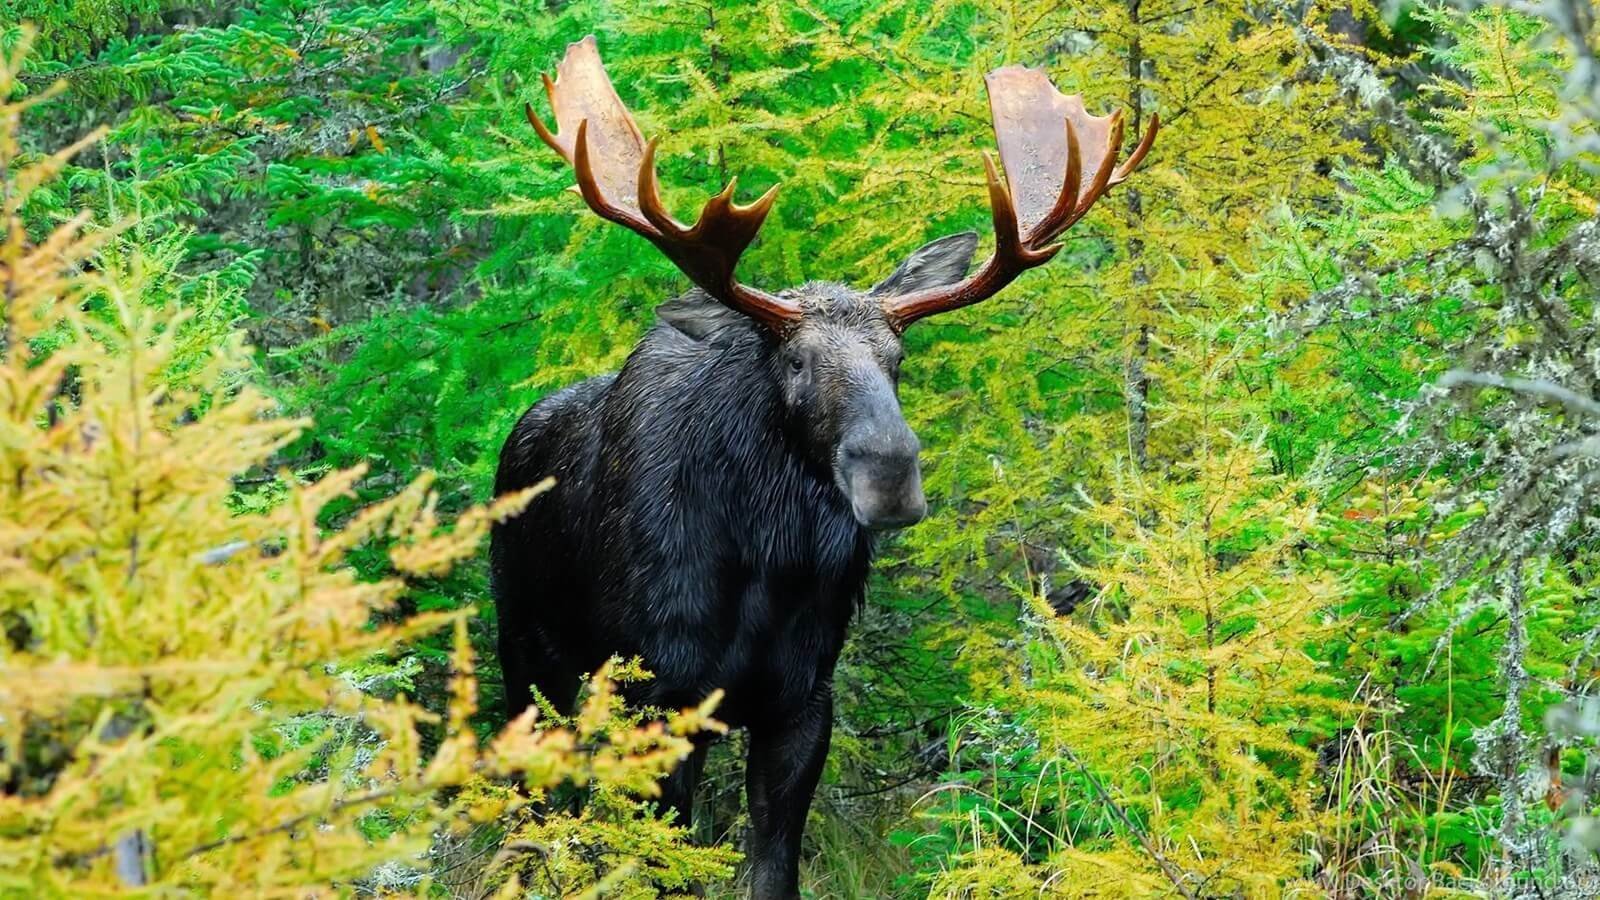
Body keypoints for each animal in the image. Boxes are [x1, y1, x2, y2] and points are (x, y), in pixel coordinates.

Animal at [492, 36, 1158, 896]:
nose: (891, 474)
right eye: (796, 360)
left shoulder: (804, 698)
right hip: (526, 662)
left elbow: (776, 867)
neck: (765, 564)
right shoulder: (664, 694)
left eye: (898, 360)